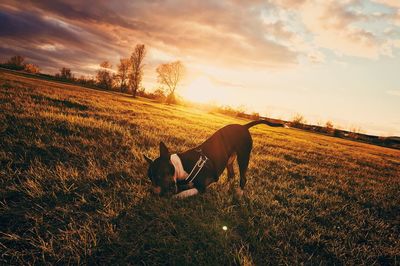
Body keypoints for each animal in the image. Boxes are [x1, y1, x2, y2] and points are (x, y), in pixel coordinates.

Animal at [143, 120, 282, 197]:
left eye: (159, 176)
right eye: (150, 178)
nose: (152, 192)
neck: (180, 167)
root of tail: (244, 126)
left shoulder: (201, 188)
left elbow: (181, 194)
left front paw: (174, 196)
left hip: (243, 156)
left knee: (243, 177)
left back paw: (239, 193)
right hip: (229, 159)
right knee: (231, 174)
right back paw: (227, 188)